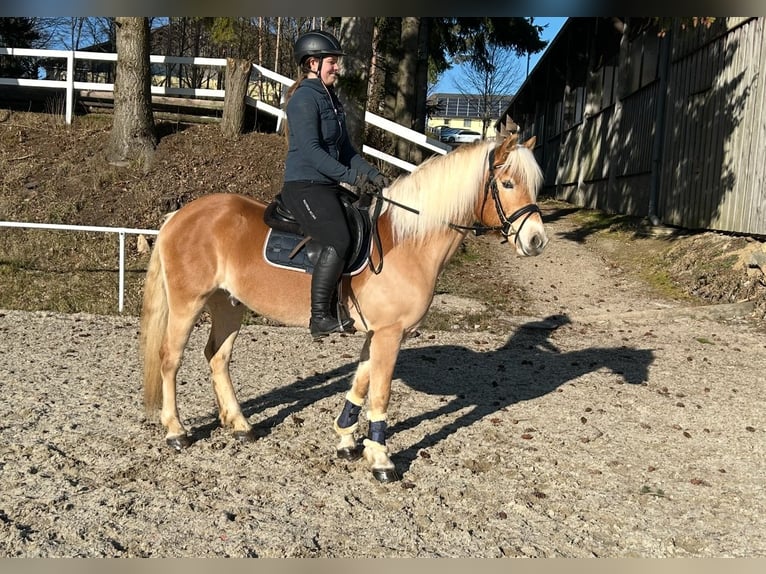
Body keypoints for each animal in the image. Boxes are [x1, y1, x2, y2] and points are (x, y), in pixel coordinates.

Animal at [138, 130, 544, 482]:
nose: (536, 240)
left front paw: (347, 440)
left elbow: (360, 384)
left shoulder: (379, 334)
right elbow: (380, 393)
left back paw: (239, 425)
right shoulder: (390, 334)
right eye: (508, 183)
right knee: (170, 359)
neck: (408, 242)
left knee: (217, 358)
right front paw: (380, 459)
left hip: (228, 305)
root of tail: (179, 216)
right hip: (188, 304)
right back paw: (176, 431)